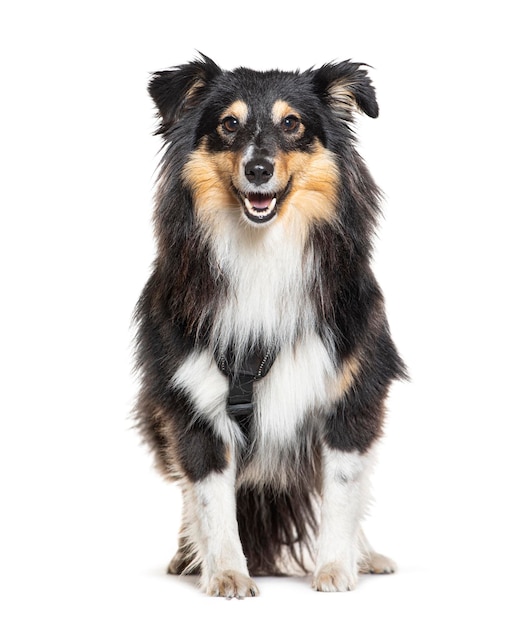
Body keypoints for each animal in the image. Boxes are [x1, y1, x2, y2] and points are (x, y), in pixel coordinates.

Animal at [134, 54, 406, 596]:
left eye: (292, 124)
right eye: (228, 124)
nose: (257, 169)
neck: (263, 249)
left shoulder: (352, 394)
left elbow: (342, 490)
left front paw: (336, 568)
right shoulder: (191, 401)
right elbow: (210, 498)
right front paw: (226, 573)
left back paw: (366, 555)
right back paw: (187, 554)